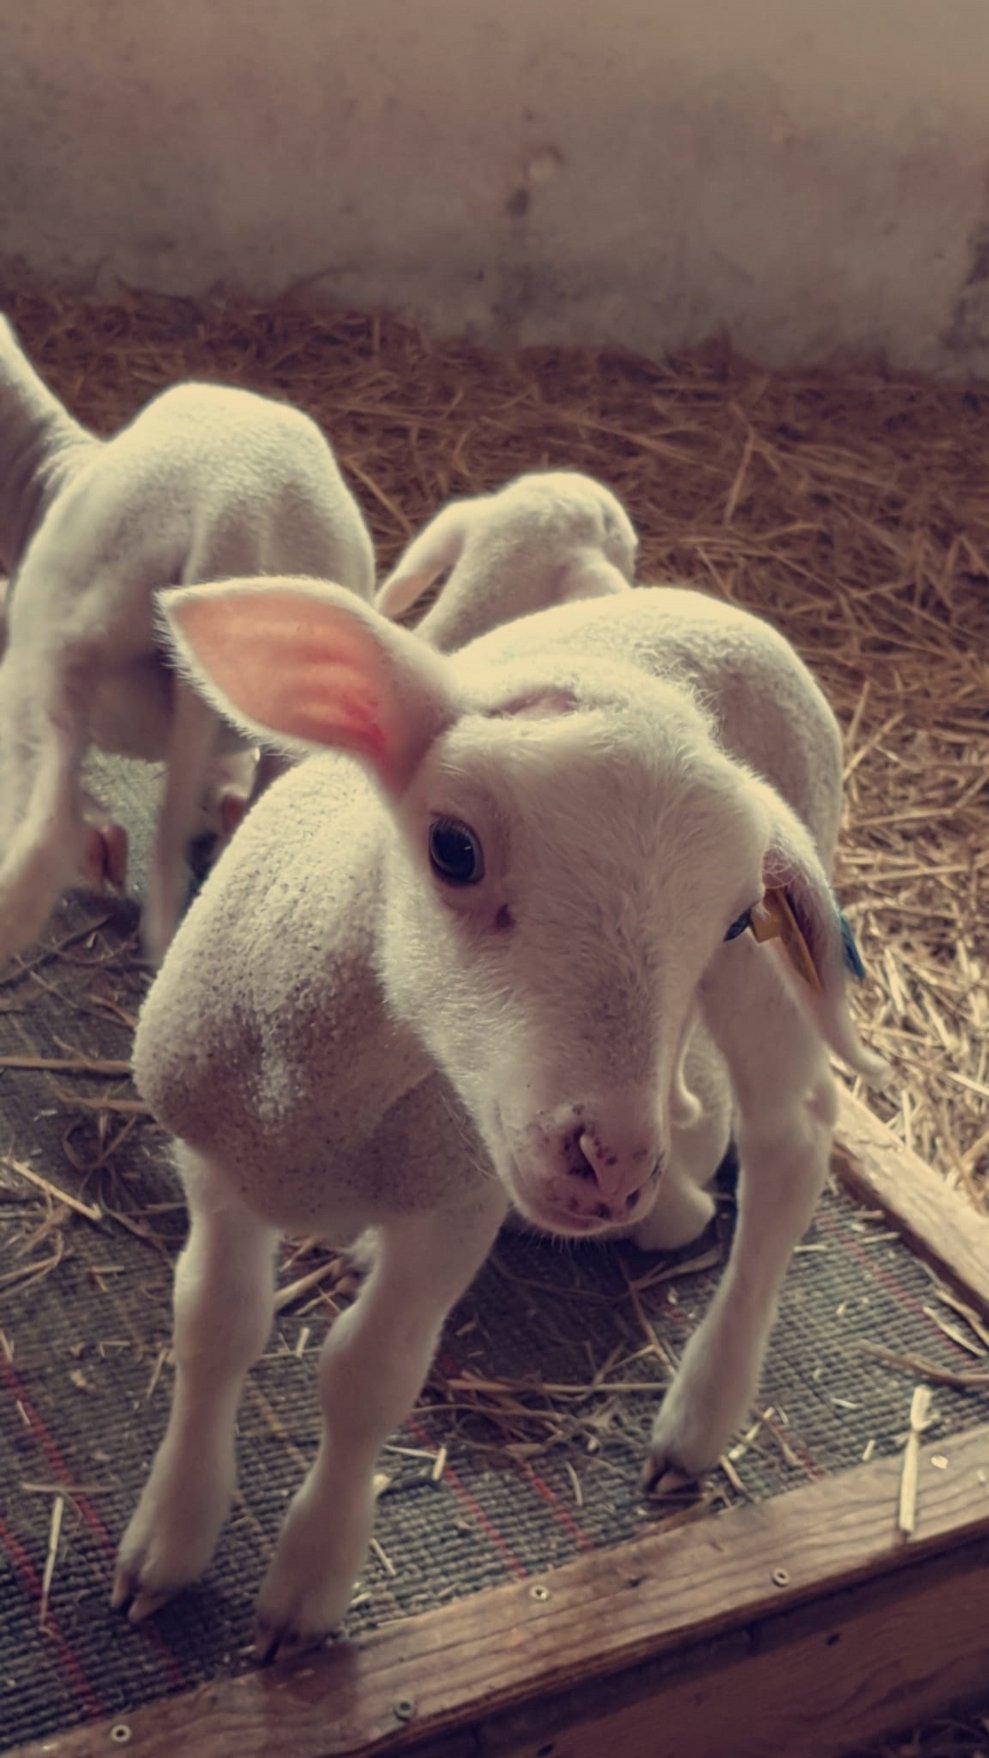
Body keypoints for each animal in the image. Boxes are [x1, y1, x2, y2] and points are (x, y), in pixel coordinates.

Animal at [112, 566, 886, 1662]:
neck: (330, 1099)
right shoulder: (220, 1166)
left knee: (793, 1135)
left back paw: (698, 1415)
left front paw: (306, 1589)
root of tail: (715, 605)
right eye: (452, 848)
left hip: (764, 970)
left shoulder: (455, 1201)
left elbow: (368, 1378)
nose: (608, 1162)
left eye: (737, 913)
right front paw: (166, 1544)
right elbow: (214, 1328)